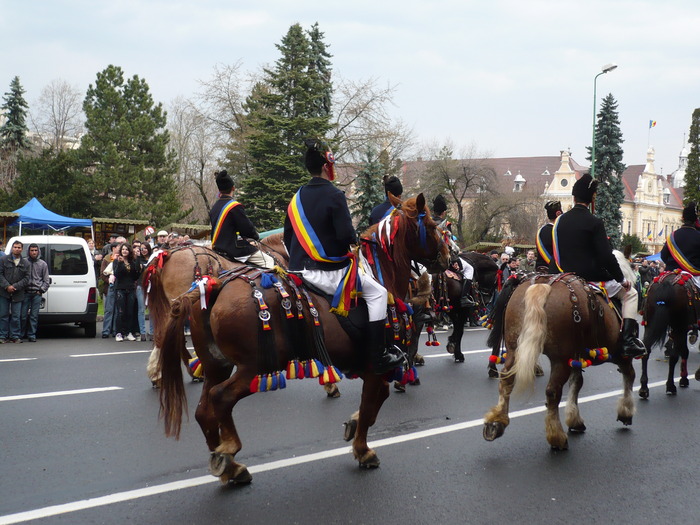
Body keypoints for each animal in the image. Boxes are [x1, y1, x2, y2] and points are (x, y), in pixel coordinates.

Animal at [154, 193, 448, 484]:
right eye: (432, 226)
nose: (448, 256)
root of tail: (215, 284)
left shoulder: (367, 367)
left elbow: (375, 403)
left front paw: (352, 427)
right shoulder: (376, 364)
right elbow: (368, 408)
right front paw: (363, 450)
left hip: (217, 365)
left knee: (204, 410)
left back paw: (230, 467)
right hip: (255, 367)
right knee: (220, 398)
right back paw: (229, 451)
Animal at [484, 268, 636, 448]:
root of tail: (542, 284)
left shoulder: (576, 357)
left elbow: (577, 383)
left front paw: (574, 419)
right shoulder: (621, 355)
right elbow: (629, 376)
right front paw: (626, 411)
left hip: (516, 351)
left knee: (506, 380)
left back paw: (496, 422)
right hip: (560, 360)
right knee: (552, 392)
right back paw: (556, 436)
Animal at [640, 270, 700, 398]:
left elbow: (684, 351)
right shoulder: (682, 329)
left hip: (650, 324)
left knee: (646, 350)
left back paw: (644, 388)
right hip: (679, 327)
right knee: (674, 356)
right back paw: (670, 386)